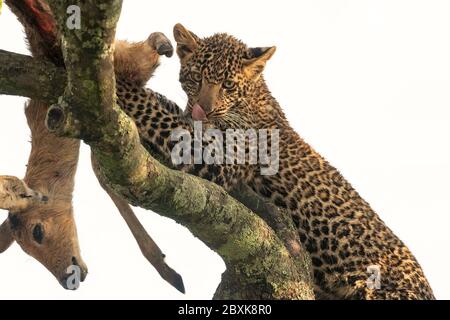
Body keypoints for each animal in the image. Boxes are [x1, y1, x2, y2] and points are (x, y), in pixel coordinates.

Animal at [112, 23, 436, 300]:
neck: (251, 99)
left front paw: (117, 80)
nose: (203, 110)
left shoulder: (219, 157)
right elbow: (165, 108)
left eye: (228, 85)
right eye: (196, 78)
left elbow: (155, 113)